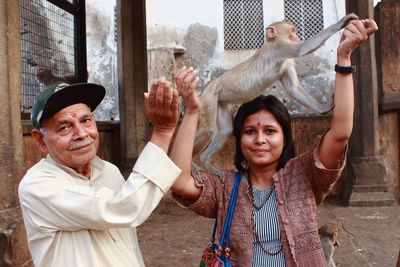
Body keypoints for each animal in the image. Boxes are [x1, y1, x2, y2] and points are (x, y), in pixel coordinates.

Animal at [192, 13, 358, 170]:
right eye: (292, 31)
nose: (297, 36)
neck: (272, 41)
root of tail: (208, 87)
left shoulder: (285, 61)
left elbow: (292, 88)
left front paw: (324, 108)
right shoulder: (281, 46)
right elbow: (301, 49)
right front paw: (341, 22)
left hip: (221, 100)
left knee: (225, 130)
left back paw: (204, 161)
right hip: (209, 98)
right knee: (208, 130)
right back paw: (194, 165)